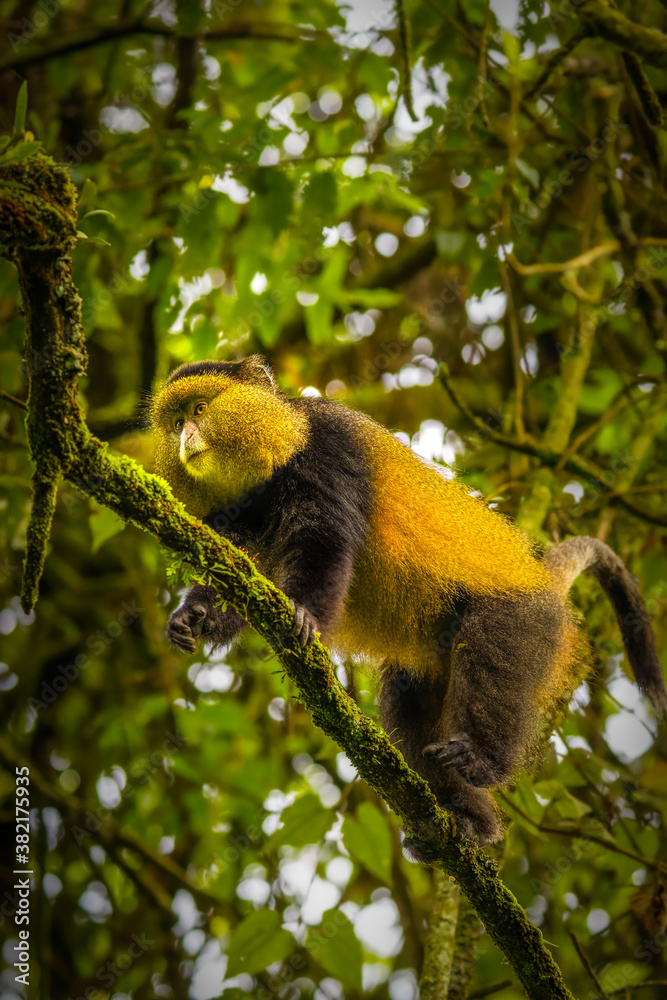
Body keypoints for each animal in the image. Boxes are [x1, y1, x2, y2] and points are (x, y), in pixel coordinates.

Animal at [152, 355, 666, 847]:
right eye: (176, 423)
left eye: (200, 410)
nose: (186, 440)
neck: (274, 456)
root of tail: (542, 578)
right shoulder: (241, 508)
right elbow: (239, 570)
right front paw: (195, 615)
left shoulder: (328, 445)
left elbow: (323, 539)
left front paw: (305, 616)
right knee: (408, 700)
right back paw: (469, 819)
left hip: (523, 617)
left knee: (492, 654)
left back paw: (482, 760)